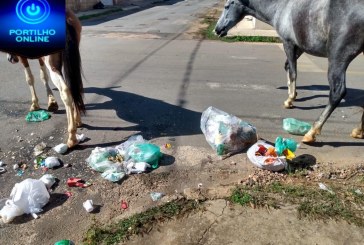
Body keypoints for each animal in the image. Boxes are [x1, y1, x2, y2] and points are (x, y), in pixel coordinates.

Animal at [215, 0, 362, 143]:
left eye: (227, 6)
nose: (217, 29)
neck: (282, 6)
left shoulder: (288, 43)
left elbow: (293, 72)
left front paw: (290, 99)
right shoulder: (300, 46)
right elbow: (288, 67)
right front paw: (293, 95)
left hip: (338, 58)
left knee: (337, 93)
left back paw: (312, 132)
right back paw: (359, 131)